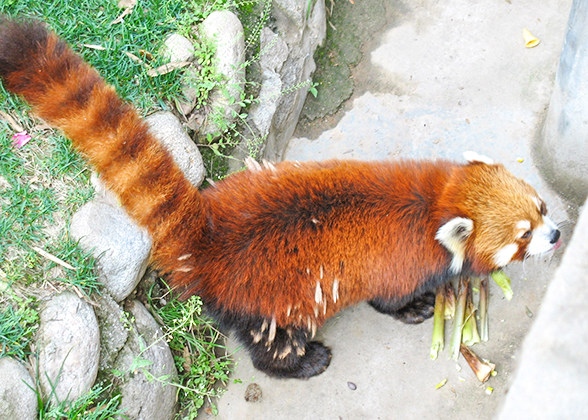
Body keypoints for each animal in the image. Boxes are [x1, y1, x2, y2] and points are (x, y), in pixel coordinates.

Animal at [0, 18, 560, 378]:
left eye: (541, 208)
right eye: (522, 236)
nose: (556, 235)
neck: (435, 204)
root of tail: (209, 236)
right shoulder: (400, 262)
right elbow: (389, 298)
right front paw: (417, 308)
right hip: (270, 300)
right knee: (272, 345)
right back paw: (306, 361)